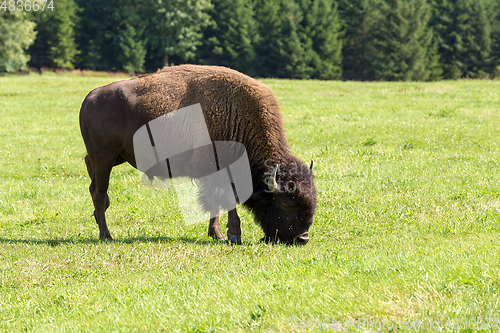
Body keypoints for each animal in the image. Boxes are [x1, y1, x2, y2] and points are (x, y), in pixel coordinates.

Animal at [78, 64, 316, 244]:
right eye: (286, 204)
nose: (302, 238)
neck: (238, 118)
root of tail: (90, 97)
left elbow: (216, 203)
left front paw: (217, 234)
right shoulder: (216, 172)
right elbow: (224, 200)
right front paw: (232, 235)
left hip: (112, 158)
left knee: (93, 183)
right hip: (104, 157)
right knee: (99, 193)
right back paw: (106, 235)